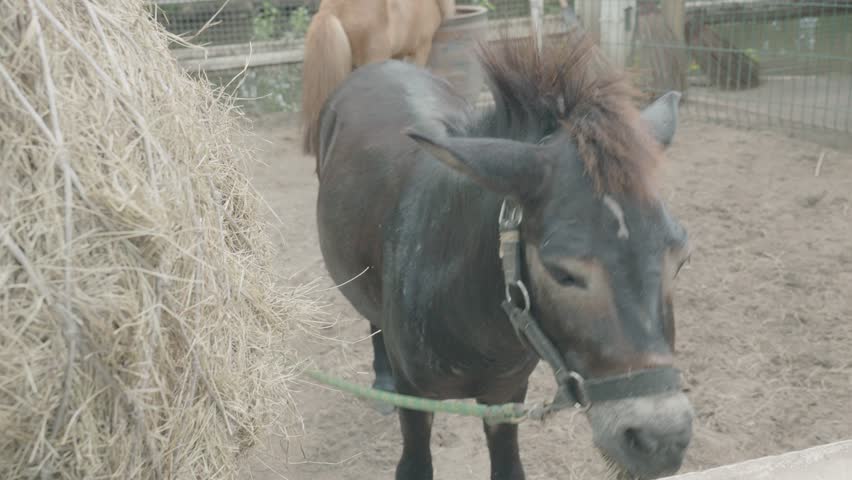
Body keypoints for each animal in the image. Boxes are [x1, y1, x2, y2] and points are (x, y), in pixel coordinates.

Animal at [308, 29, 694, 480]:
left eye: (680, 258)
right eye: (562, 273)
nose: (662, 440)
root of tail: (382, 65)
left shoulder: (506, 395)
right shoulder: (415, 399)